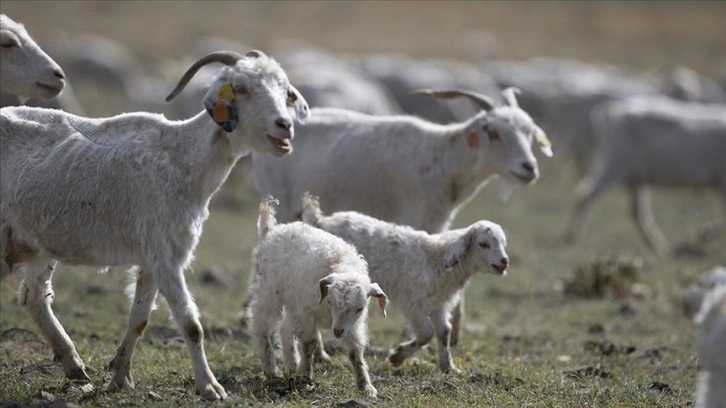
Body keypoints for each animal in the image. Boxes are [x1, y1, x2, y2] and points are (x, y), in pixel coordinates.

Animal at [0, 49, 310, 400]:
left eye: (285, 91)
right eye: (242, 89)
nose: (284, 126)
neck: (182, 157)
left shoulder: (153, 257)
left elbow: (139, 319)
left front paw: (120, 376)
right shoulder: (164, 253)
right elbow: (191, 325)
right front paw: (210, 387)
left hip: (36, 241)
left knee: (34, 296)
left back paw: (74, 366)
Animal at [249, 198, 390, 396]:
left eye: (359, 308)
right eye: (330, 301)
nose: (337, 332)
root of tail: (271, 230)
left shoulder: (352, 324)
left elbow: (355, 352)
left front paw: (366, 386)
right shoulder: (308, 314)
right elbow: (309, 344)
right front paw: (305, 377)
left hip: (294, 300)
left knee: (284, 329)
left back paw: (291, 366)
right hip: (269, 291)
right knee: (260, 323)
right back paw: (271, 369)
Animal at [304, 193, 510, 374]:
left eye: (503, 243)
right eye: (483, 244)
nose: (504, 262)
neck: (435, 258)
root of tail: (320, 220)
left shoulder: (439, 303)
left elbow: (444, 332)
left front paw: (448, 367)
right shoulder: (415, 302)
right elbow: (426, 333)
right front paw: (397, 356)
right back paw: (320, 355)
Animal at [568, 96, 726, 255]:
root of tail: (613, 109)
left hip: (636, 176)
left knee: (637, 210)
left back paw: (658, 245)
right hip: (615, 163)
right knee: (586, 193)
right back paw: (573, 236)